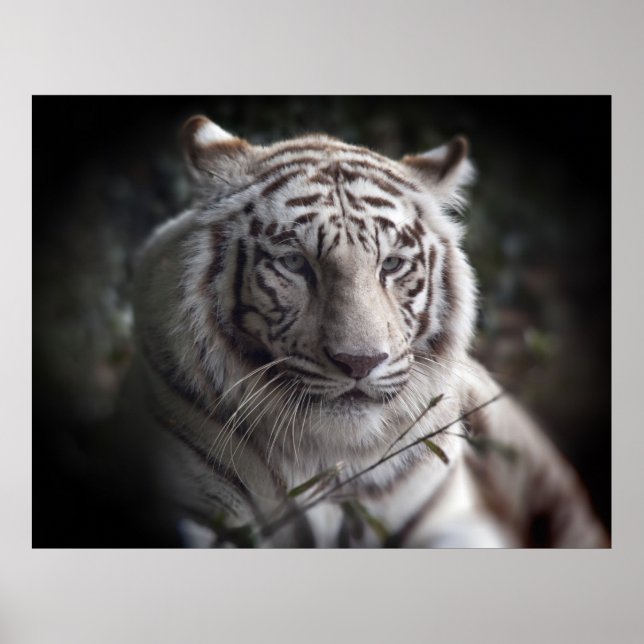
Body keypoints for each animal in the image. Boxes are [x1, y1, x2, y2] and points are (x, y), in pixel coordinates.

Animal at [118, 115, 608, 547]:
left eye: (390, 264)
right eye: (295, 263)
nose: (360, 362)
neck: (328, 455)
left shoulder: (451, 517)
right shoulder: (203, 513)